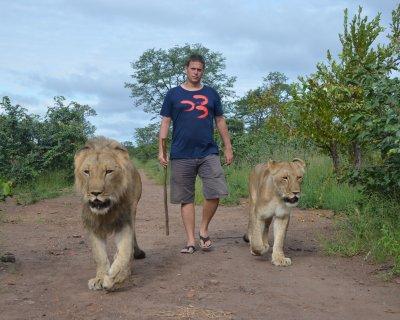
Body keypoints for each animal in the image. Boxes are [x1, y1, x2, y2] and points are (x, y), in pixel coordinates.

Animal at [74, 136, 145, 292]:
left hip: (133, 210)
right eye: (87, 171)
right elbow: (99, 255)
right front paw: (100, 279)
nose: (95, 193)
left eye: (109, 171)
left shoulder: (124, 222)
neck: (106, 212)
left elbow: (124, 252)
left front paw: (115, 277)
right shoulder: (94, 226)